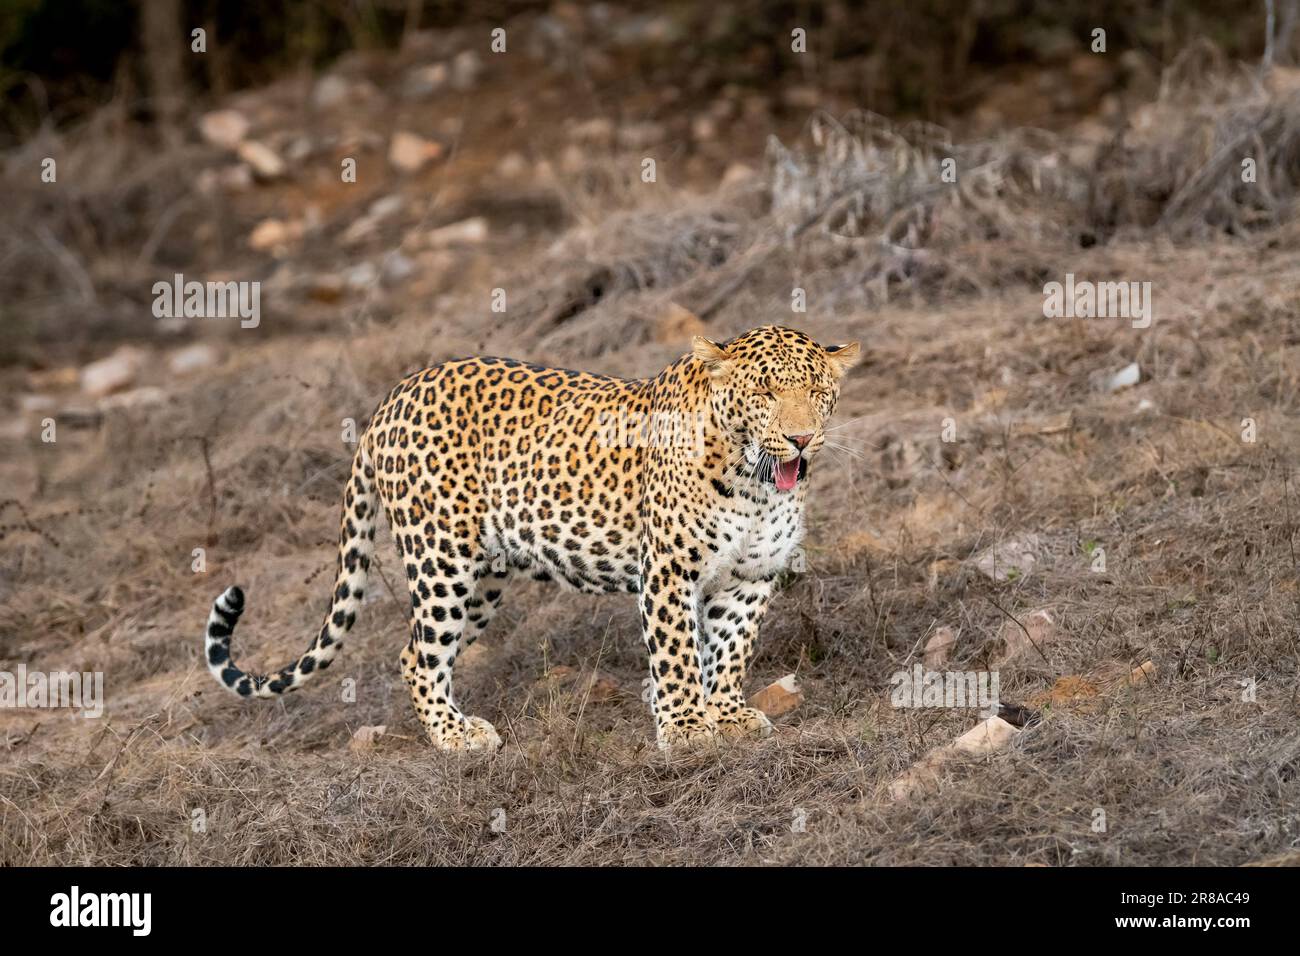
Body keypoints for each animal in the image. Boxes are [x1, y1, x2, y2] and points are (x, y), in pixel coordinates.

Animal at [202, 325, 857, 749]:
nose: (800, 439)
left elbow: (730, 651)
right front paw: (688, 729)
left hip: (484, 578)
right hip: (442, 559)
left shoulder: (751, 577)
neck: (756, 484)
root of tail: (389, 401)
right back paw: (455, 736)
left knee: (421, 652)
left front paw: (726, 714)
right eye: (765, 392)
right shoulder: (669, 571)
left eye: (816, 393)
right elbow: (676, 654)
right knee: (417, 654)